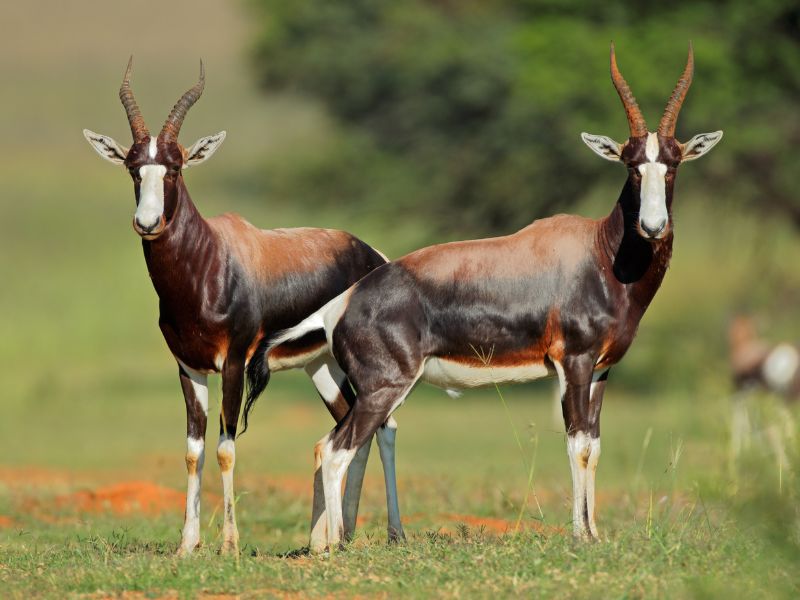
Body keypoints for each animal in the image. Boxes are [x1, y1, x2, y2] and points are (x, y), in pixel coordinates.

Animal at [83, 58, 406, 556]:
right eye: (134, 168)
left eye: (175, 168)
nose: (147, 223)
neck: (210, 260)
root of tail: (375, 256)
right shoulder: (188, 368)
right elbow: (193, 451)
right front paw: (188, 544)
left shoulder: (234, 363)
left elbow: (225, 448)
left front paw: (229, 544)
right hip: (322, 366)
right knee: (353, 425)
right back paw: (338, 535)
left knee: (385, 427)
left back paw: (392, 533)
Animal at [252, 44, 724, 548]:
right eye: (631, 164)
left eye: (673, 163)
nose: (653, 226)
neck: (599, 252)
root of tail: (340, 304)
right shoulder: (573, 363)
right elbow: (576, 443)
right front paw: (580, 536)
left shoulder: (601, 370)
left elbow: (594, 446)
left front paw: (595, 534)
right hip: (384, 387)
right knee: (335, 448)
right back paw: (336, 545)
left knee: (341, 444)